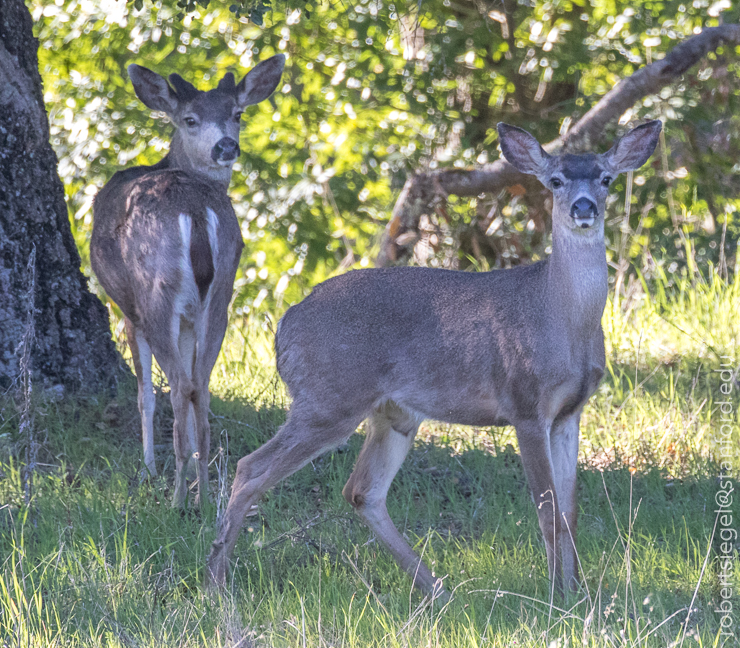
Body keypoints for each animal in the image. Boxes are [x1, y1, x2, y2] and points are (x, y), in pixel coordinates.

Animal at [92, 55, 286, 508]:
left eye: (237, 114)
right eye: (191, 119)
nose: (226, 146)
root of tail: (195, 210)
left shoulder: (128, 311)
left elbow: (145, 394)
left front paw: (148, 468)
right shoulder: (188, 316)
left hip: (154, 292)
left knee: (179, 387)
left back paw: (178, 496)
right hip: (221, 293)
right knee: (202, 384)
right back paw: (204, 489)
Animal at [205, 117, 660, 596]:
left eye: (606, 179)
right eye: (554, 180)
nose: (583, 207)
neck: (562, 317)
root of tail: (285, 325)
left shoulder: (570, 411)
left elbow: (570, 511)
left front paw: (578, 590)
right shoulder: (525, 404)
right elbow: (548, 511)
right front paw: (558, 595)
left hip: (394, 412)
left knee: (362, 490)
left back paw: (437, 588)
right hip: (328, 397)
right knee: (250, 469)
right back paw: (216, 582)